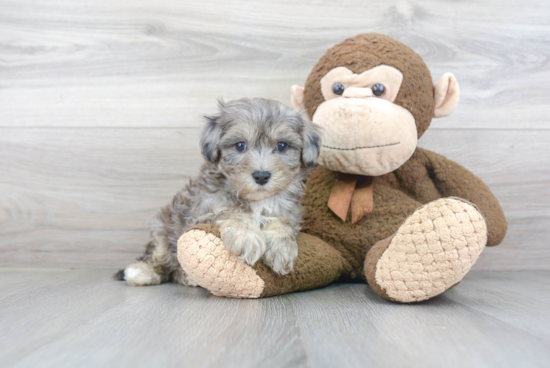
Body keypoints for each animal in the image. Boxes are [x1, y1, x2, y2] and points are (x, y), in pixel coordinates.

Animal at [116, 98, 324, 288]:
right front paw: (246, 236)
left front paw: (282, 249)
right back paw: (143, 272)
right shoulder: (205, 208)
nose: (261, 176)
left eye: (281, 146)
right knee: (161, 258)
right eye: (240, 145)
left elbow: (282, 222)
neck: (255, 200)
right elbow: (230, 211)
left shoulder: (288, 210)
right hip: (162, 228)